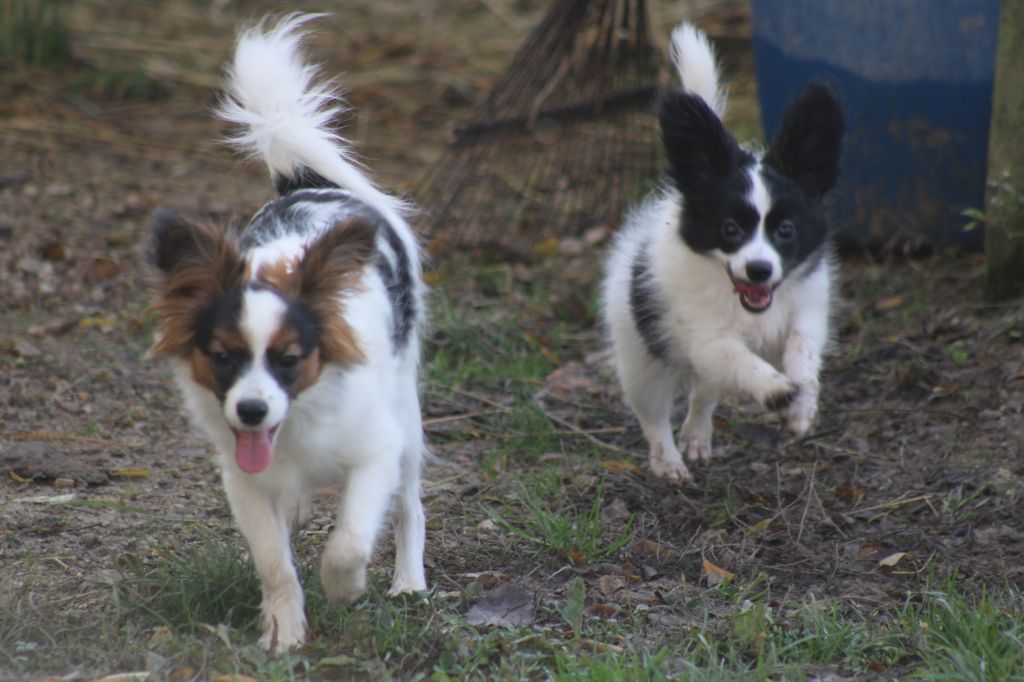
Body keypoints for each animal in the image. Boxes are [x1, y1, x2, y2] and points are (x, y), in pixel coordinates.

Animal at [146, 14, 425, 647]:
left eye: (290, 359)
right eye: (222, 356)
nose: (251, 411)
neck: (296, 421)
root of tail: (309, 184)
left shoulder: (376, 449)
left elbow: (350, 539)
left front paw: (345, 588)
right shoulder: (244, 480)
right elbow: (275, 561)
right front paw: (283, 630)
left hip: (407, 408)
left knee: (409, 503)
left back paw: (409, 582)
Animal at [598, 23, 839, 481]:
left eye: (786, 231)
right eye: (729, 229)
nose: (759, 269)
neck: (749, 306)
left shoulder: (807, 309)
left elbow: (802, 347)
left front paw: (802, 403)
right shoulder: (705, 338)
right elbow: (737, 358)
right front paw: (775, 388)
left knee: (704, 393)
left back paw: (696, 434)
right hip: (641, 356)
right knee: (653, 413)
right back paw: (668, 460)